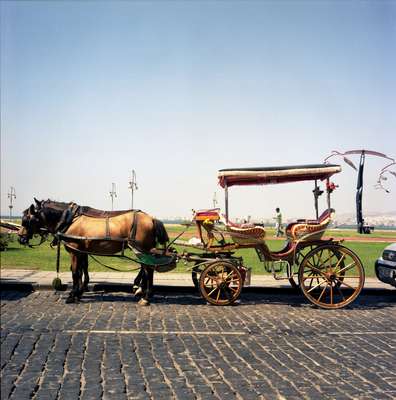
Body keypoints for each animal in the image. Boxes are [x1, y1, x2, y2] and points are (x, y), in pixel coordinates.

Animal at [17, 198, 169, 304]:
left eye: (26, 220)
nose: (20, 238)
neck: (69, 219)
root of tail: (152, 218)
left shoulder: (75, 251)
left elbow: (75, 272)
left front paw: (72, 295)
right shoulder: (81, 251)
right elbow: (80, 270)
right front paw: (79, 292)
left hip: (143, 249)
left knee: (148, 270)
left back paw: (146, 296)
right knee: (145, 269)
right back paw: (142, 291)